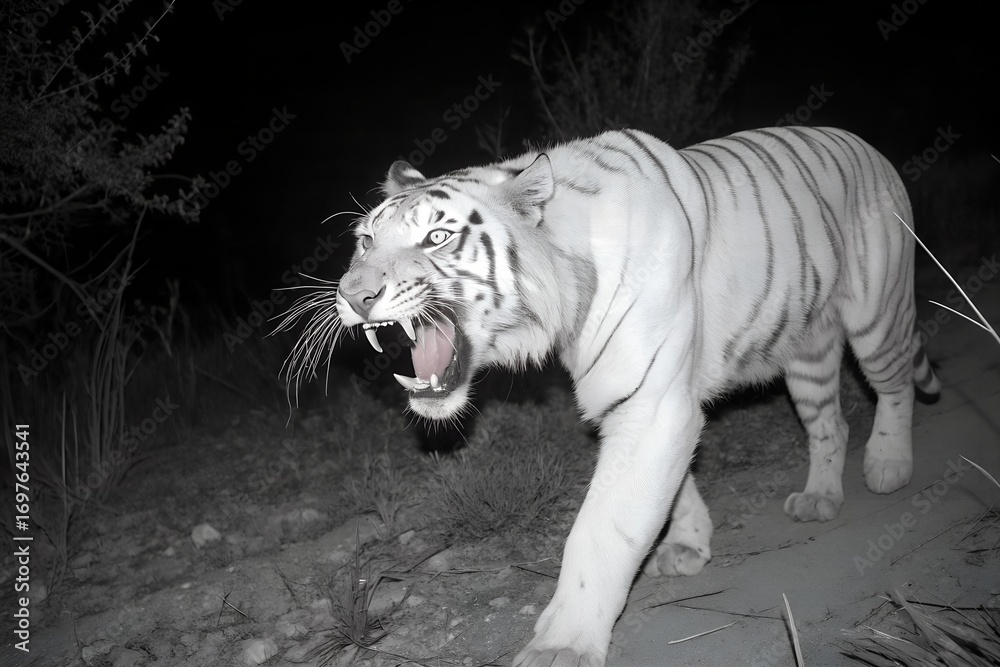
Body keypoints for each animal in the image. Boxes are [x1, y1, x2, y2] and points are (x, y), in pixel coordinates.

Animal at [284, 126, 941, 666]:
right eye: (365, 241)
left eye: (438, 237)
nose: (353, 295)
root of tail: (866, 145)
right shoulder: (634, 399)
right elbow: (672, 489)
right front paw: (688, 543)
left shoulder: (653, 405)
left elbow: (602, 531)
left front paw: (562, 645)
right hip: (806, 352)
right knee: (830, 423)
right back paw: (821, 497)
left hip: (877, 313)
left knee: (894, 384)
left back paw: (889, 465)